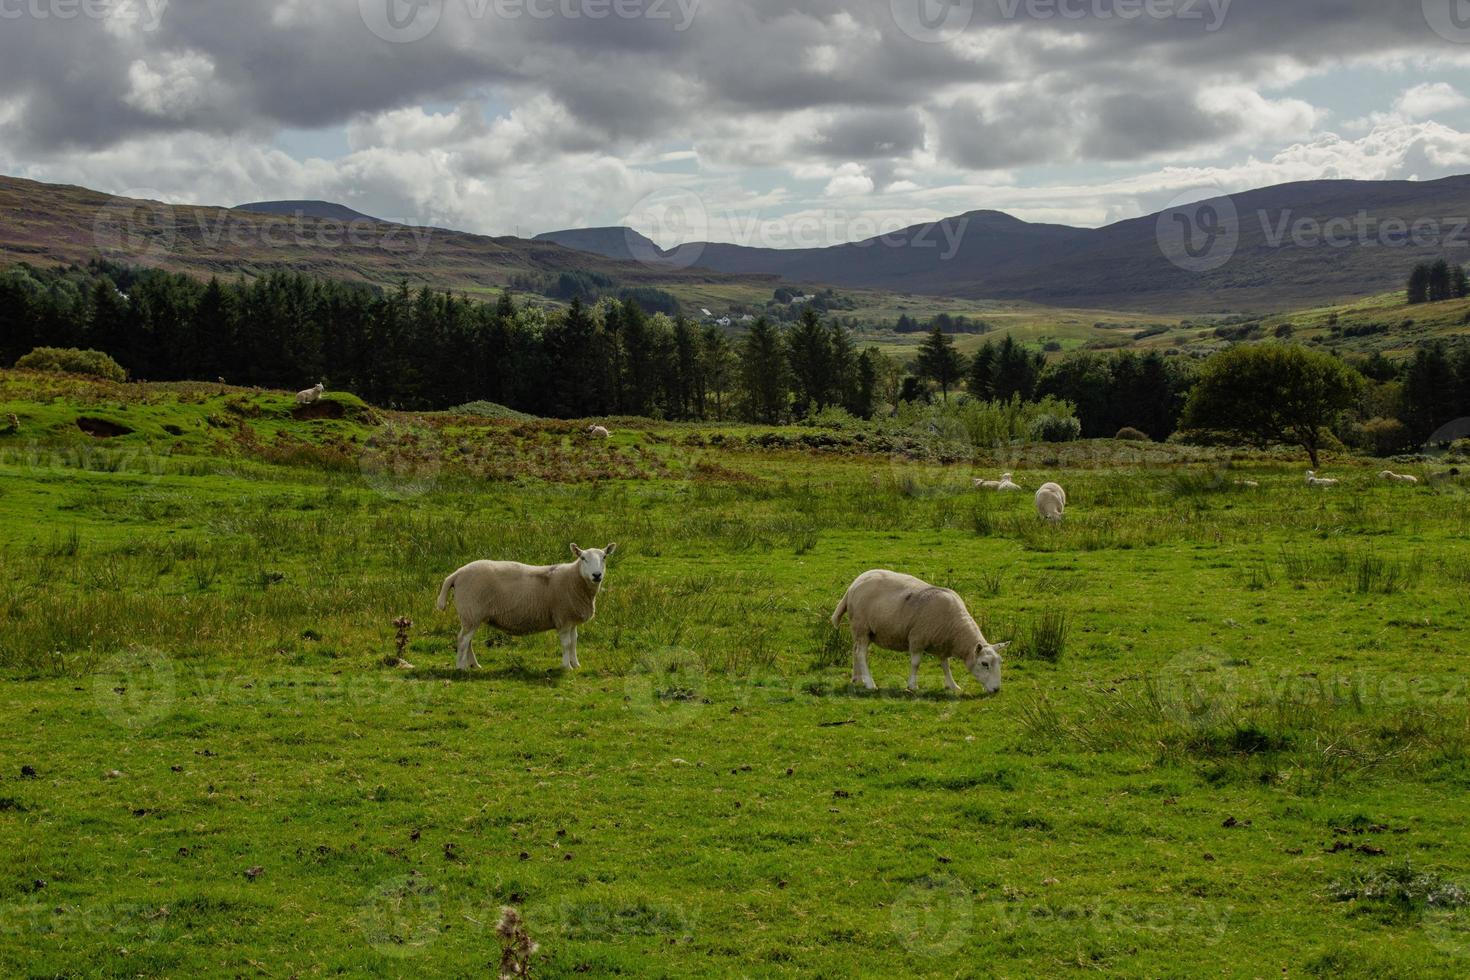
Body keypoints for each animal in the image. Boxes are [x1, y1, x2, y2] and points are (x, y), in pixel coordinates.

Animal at [435, 543, 620, 675]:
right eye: (582, 558)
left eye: (604, 557)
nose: (597, 575)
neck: (575, 579)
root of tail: (456, 574)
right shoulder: (562, 618)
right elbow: (567, 644)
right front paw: (566, 667)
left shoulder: (571, 619)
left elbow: (574, 642)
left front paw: (576, 664)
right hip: (471, 611)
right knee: (462, 639)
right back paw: (461, 668)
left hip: (472, 615)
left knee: (468, 640)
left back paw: (474, 665)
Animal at [834, 567, 1005, 696]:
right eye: (984, 664)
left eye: (1000, 662)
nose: (997, 689)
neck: (955, 628)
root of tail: (854, 584)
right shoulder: (917, 638)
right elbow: (916, 663)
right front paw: (912, 686)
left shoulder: (943, 645)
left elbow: (945, 666)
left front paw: (953, 685)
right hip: (862, 626)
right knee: (861, 653)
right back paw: (870, 683)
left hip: (863, 631)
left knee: (855, 650)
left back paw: (857, 679)